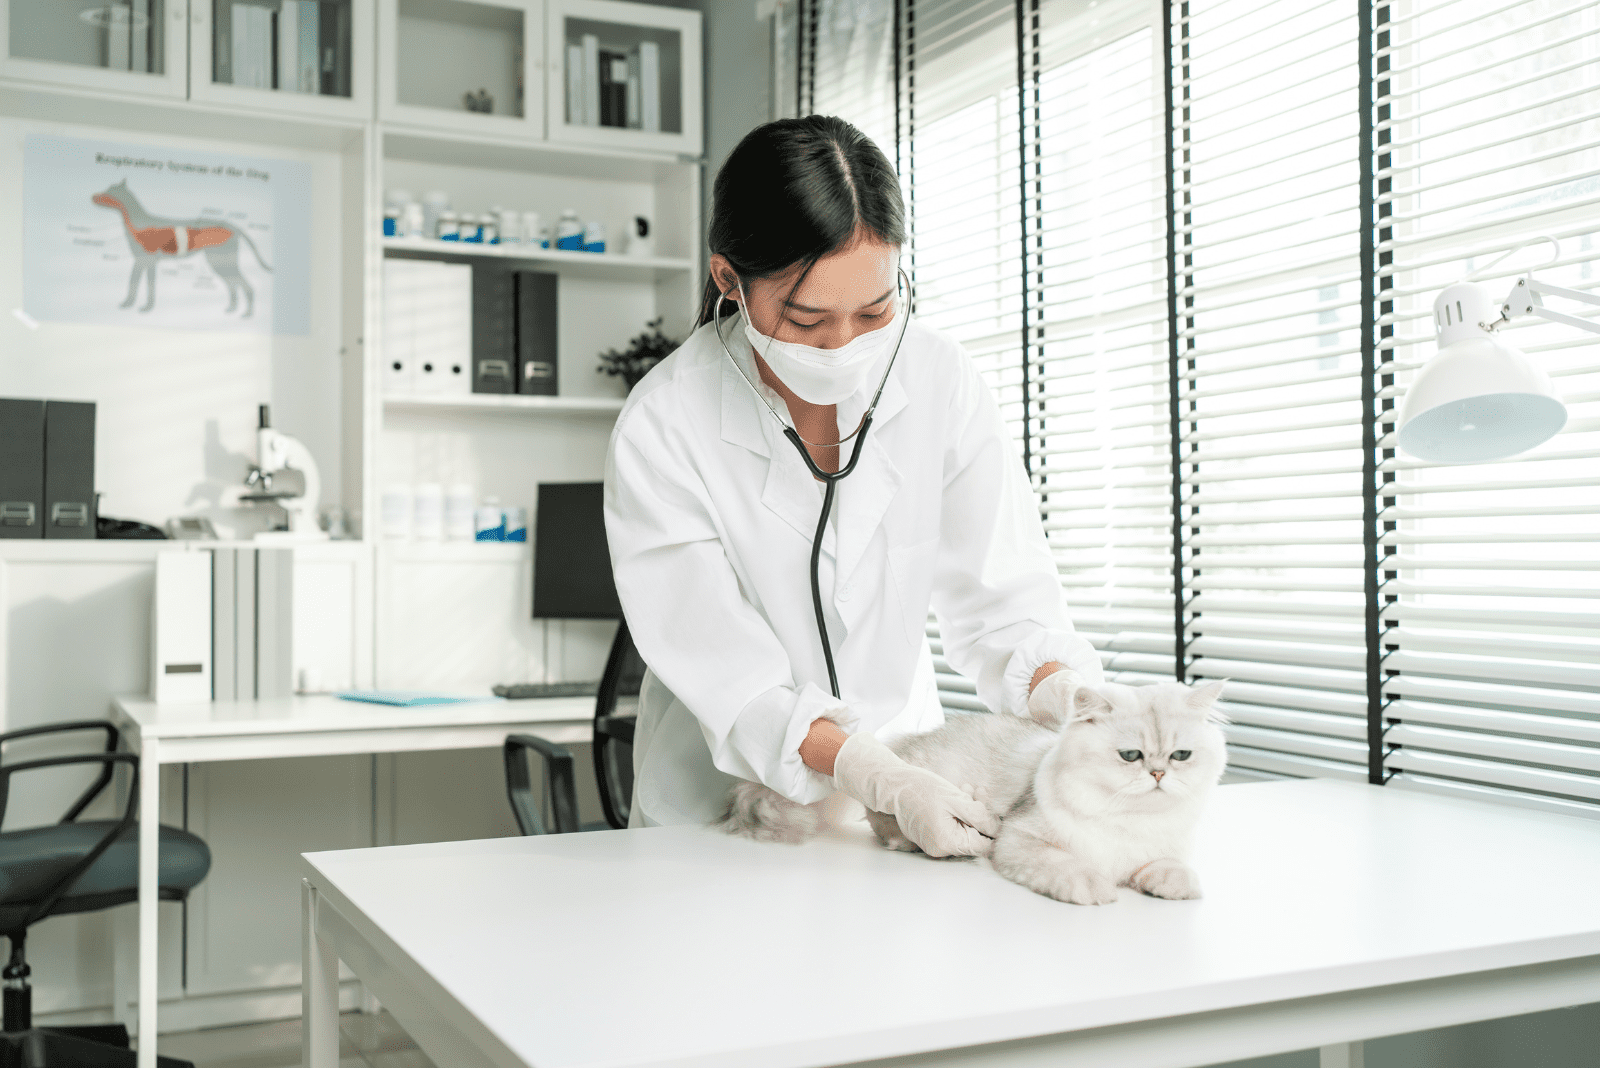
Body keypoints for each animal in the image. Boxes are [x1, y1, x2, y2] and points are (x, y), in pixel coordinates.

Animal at [713, 681, 1222, 908]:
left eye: (1180, 755)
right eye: (1130, 755)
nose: (1158, 773)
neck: (1129, 822)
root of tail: (898, 746)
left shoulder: (1158, 849)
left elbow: (1169, 867)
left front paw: (1174, 885)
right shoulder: (1021, 839)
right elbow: (1070, 867)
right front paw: (1096, 888)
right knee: (881, 819)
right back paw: (909, 842)